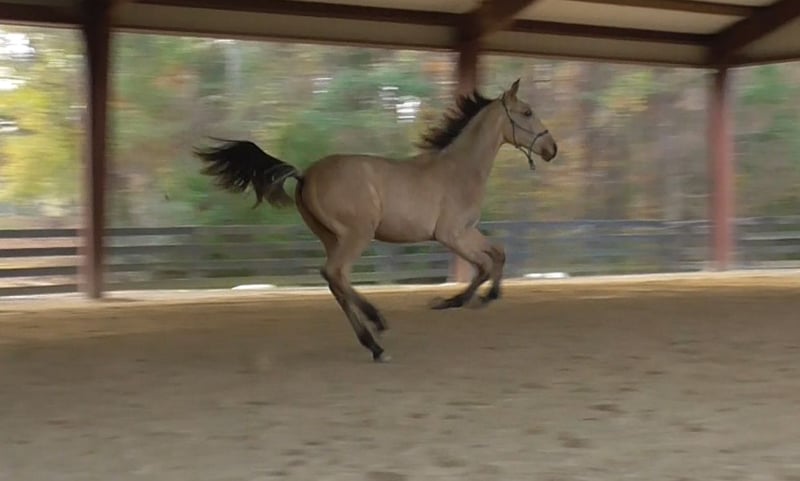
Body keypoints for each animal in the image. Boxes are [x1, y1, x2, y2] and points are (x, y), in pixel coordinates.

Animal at [194, 79, 558, 362]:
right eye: (526, 112)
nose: (551, 148)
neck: (459, 170)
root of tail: (305, 175)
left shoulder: (466, 232)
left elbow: (498, 254)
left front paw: (485, 297)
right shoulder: (451, 234)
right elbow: (483, 264)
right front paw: (452, 301)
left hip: (331, 237)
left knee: (336, 280)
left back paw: (374, 336)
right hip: (357, 234)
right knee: (335, 274)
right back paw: (376, 332)